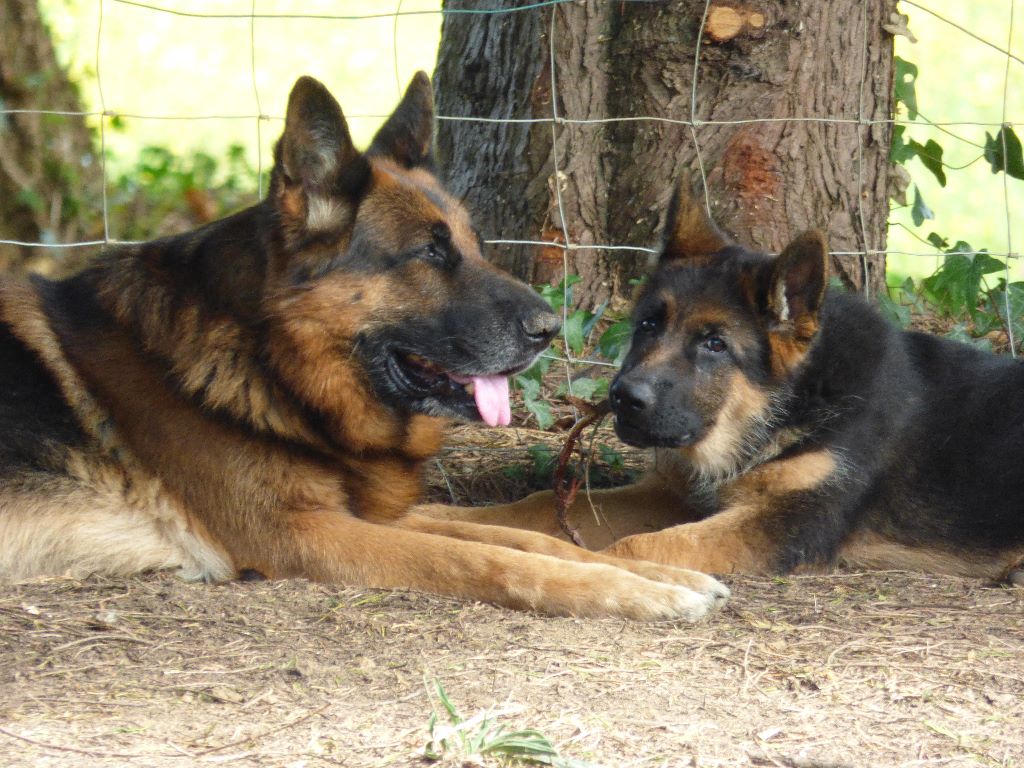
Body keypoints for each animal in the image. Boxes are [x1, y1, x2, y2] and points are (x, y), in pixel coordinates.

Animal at [0, 75, 729, 622]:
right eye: (429, 253)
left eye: (474, 247)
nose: (551, 330)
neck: (270, 362)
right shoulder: (302, 533)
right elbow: (483, 557)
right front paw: (633, 591)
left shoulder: (374, 512)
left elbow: (516, 534)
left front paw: (653, 572)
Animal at [423, 185, 1024, 581]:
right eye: (648, 324)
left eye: (714, 344)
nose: (623, 399)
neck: (793, 402)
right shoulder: (673, 495)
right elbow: (535, 503)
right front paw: (450, 521)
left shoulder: (786, 524)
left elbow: (629, 549)